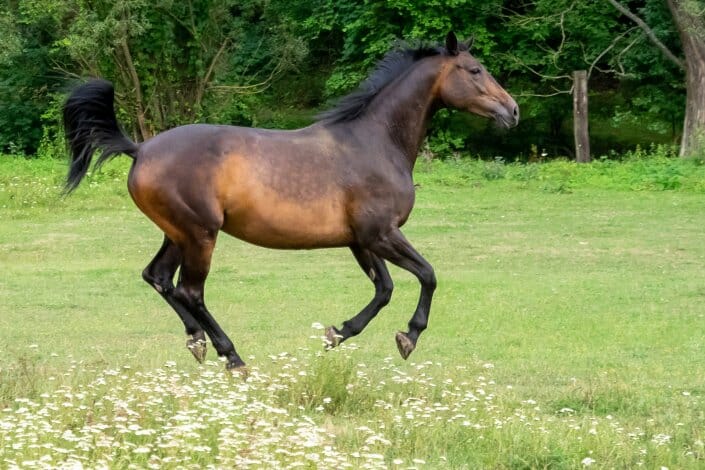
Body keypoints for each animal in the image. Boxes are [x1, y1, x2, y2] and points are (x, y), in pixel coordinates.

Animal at [64, 31, 516, 372]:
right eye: (475, 70)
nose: (512, 111)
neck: (374, 142)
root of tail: (139, 149)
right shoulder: (381, 233)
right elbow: (428, 275)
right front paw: (409, 336)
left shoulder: (362, 240)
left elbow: (384, 289)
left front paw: (337, 334)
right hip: (200, 234)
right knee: (190, 291)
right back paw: (232, 357)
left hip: (178, 233)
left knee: (158, 277)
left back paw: (197, 341)